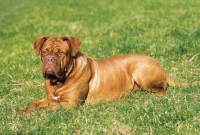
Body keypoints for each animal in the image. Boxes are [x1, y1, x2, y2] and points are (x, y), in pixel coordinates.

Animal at [18, 35, 181, 113]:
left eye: (61, 53)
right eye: (44, 52)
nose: (49, 60)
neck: (58, 81)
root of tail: (160, 65)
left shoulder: (70, 104)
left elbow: (47, 108)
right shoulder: (50, 98)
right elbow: (35, 104)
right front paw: (24, 111)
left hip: (139, 70)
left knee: (162, 91)